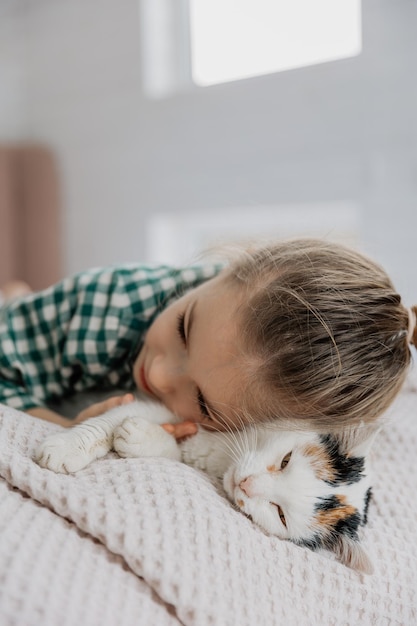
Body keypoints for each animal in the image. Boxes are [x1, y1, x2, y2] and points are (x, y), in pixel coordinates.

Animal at [35, 400, 374, 572]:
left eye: (280, 515)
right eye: (286, 460)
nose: (247, 484)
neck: (221, 459)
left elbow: (172, 450)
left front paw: (141, 438)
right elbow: (104, 423)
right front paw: (66, 447)